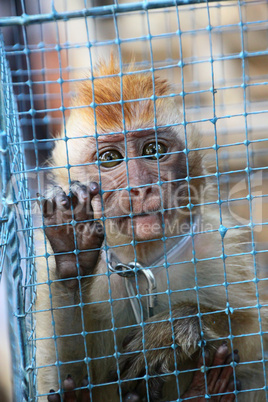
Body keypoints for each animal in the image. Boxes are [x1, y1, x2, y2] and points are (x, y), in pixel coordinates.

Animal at [35, 57, 266, 402]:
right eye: (110, 158)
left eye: (153, 151)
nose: (141, 187)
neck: (141, 259)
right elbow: (64, 380)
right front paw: (73, 255)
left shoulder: (219, 246)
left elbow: (255, 331)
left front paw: (174, 328)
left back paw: (206, 389)